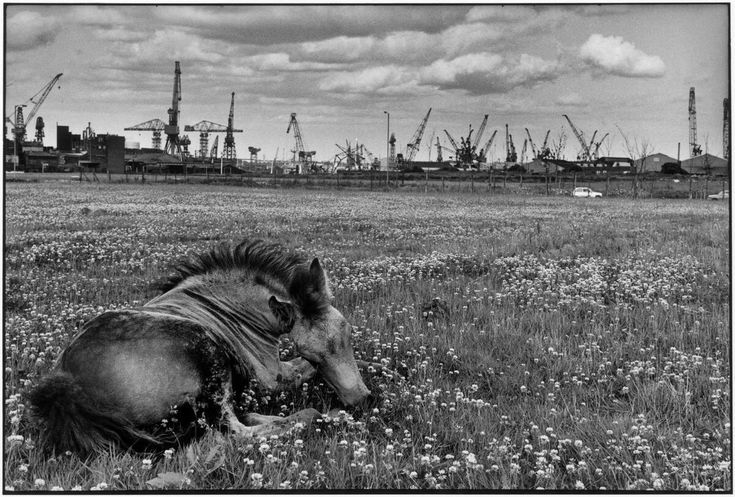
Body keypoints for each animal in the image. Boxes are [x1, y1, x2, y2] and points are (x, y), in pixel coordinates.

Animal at [28, 239, 386, 454]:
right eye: (312, 353)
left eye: (347, 332)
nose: (363, 400)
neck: (228, 308)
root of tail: (67, 384)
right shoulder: (272, 377)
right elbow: (303, 371)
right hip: (209, 353)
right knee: (234, 430)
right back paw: (326, 416)